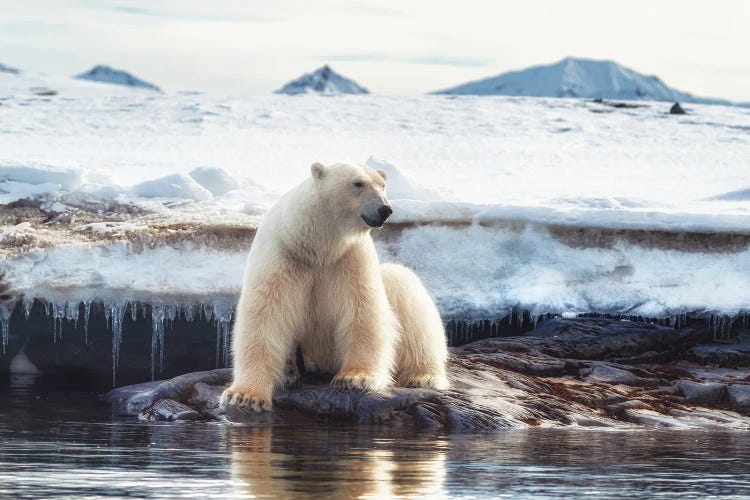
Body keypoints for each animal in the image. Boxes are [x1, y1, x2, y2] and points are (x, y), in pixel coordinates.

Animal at [220, 161, 450, 410]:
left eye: (383, 185)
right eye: (358, 183)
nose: (385, 209)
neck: (317, 247)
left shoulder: (349, 257)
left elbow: (362, 310)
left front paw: (355, 377)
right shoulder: (282, 256)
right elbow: (266, 315)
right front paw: (244, 396)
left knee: (406, 292)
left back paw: (422, 376)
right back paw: (289, 370)